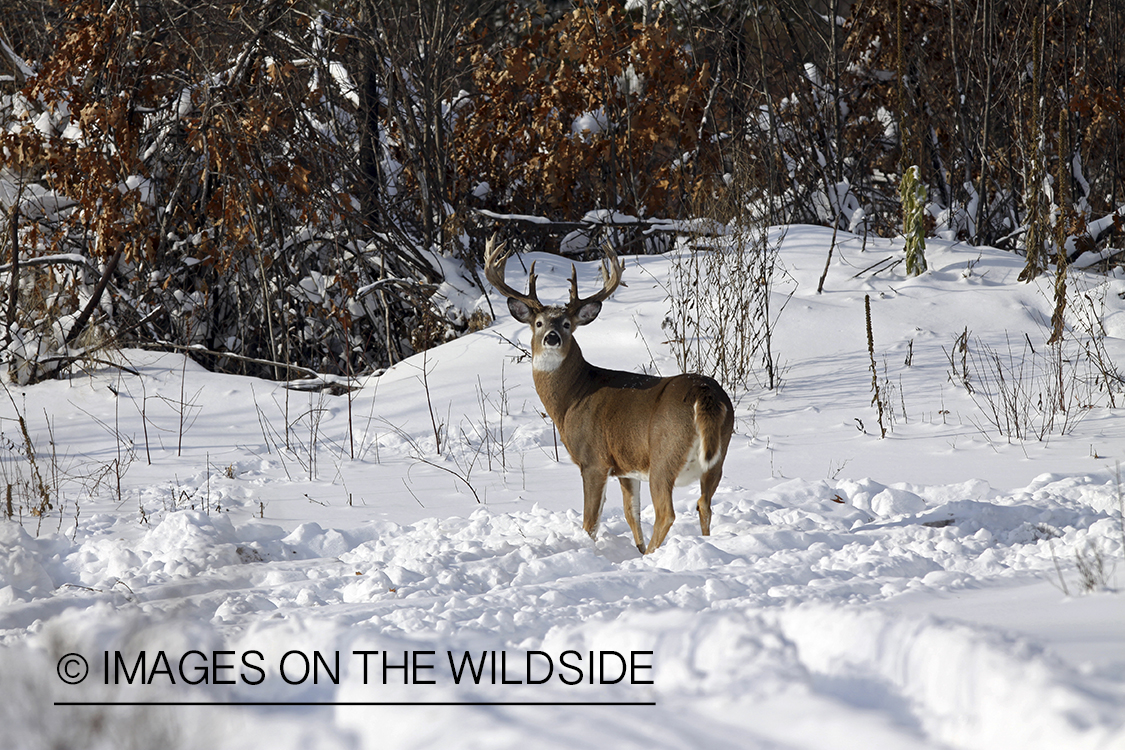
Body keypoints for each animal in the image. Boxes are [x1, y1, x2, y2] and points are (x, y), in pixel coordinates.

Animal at [486, 237, 738, 555]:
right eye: (538, 323)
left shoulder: (593, 459)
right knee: (703, 505)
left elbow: (590, 522)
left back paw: (652, 557)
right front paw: (637, 549)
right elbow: (632, 513)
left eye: (566, 324)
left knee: (666, 513)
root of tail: (704, 392)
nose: (552, 338)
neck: (572, 398)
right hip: (718, 456)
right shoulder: (627, 467)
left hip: (664, 454)